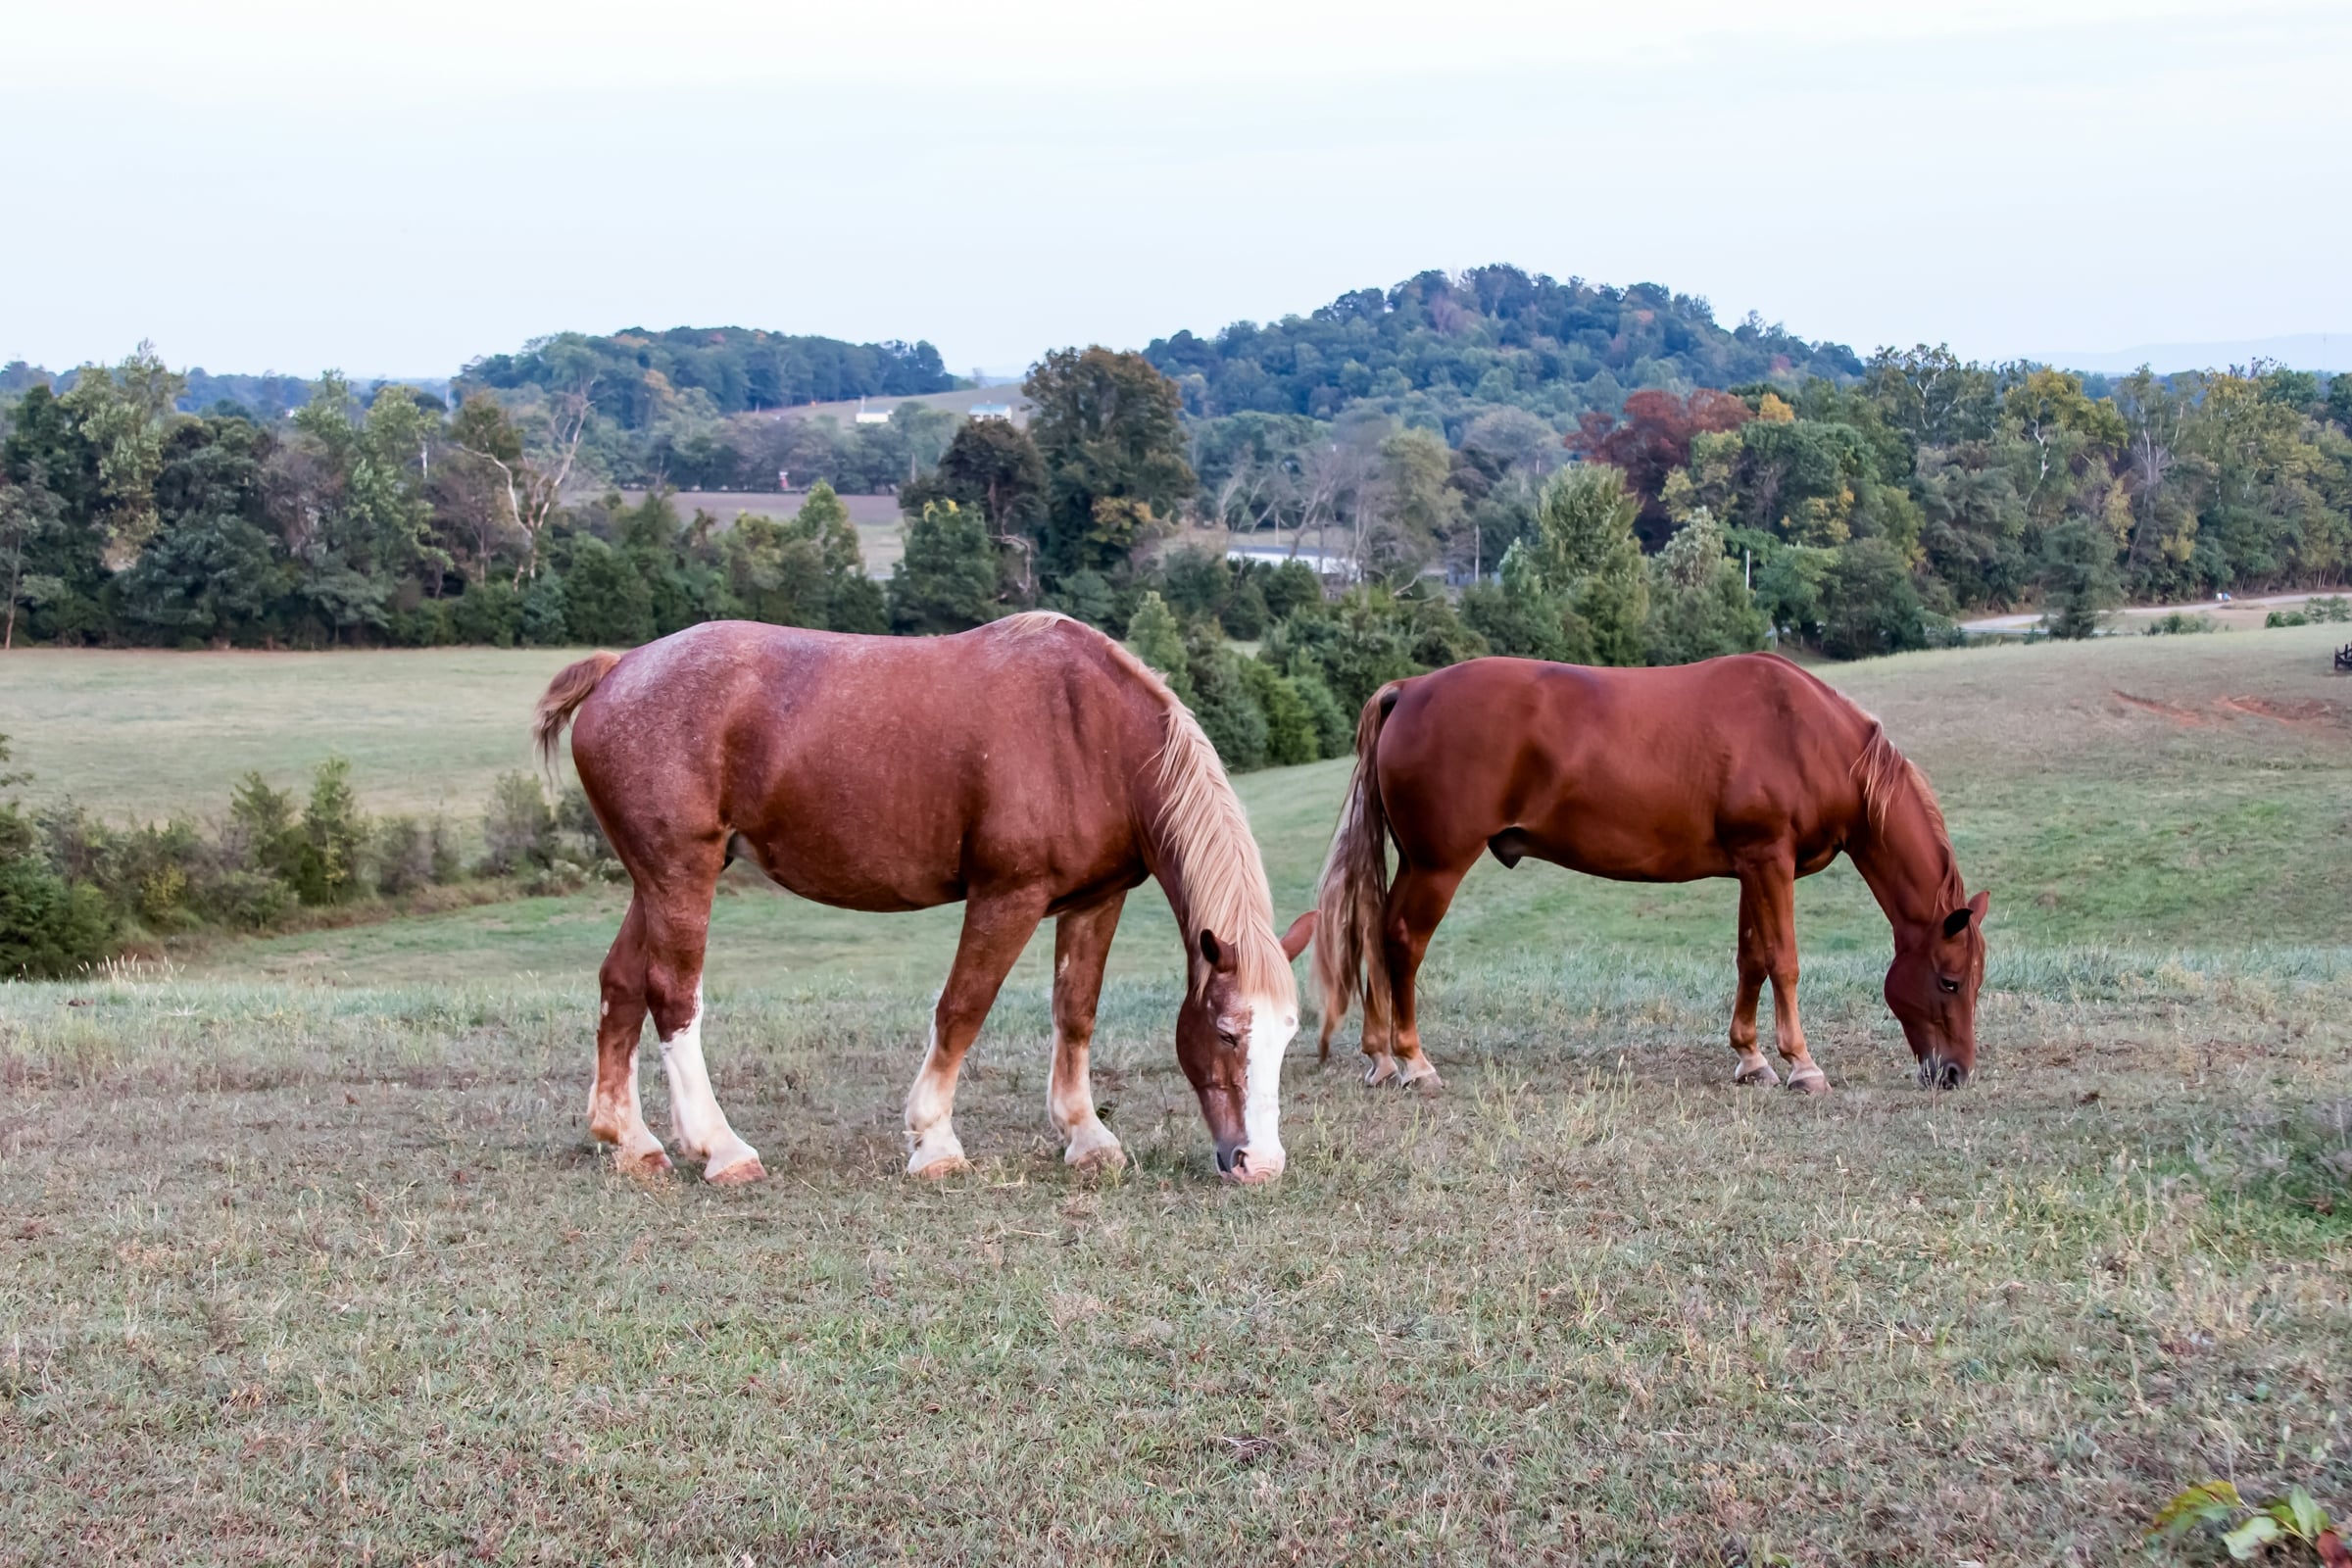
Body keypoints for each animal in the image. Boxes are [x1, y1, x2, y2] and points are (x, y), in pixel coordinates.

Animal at [532, 613, 1313, 1186]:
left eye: (1288, 1036)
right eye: (1227, 1033)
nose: (1260, 1163)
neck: (1089, 733)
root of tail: (620, 668)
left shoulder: (1097, 901)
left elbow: (1076, 1012)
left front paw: (1086, 1135)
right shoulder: (1007, 897)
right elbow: (963, 1009)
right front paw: (934, 1140)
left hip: (657, 880)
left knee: (622, 984)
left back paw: (632, 1140)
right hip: (681, 874)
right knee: (673, 994)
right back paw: (721, 1149)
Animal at [1310, 653, 1989, 1094]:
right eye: (1950, 981)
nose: (1955, 1073)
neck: (1806, 735)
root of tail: (1411, 688)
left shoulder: (1754, 867)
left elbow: (1752, 958)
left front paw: (1751, 1059)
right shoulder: (1769, 860)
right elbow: (1785, 961)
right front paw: (1802, 1064)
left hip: (1417, 864)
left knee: (1376, 934)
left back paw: (1381, 1059)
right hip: (1437, 865)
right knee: (1402, 941)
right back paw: (1412, 1062)